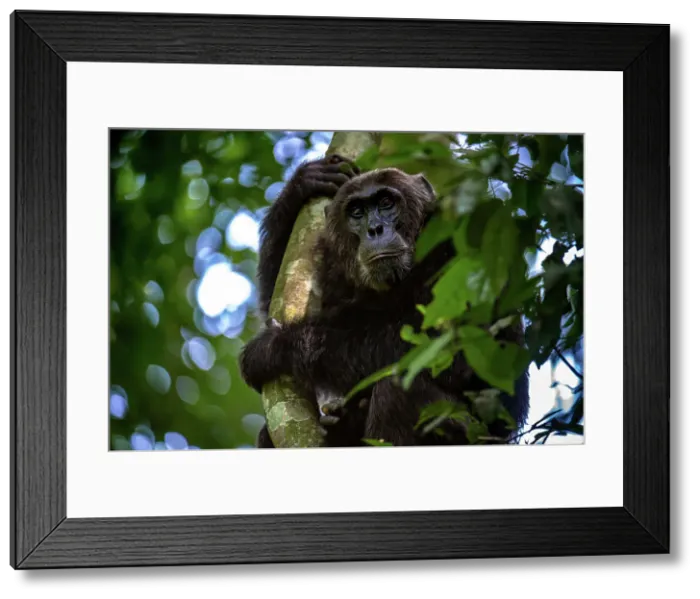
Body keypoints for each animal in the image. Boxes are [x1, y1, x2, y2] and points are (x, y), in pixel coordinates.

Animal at [239, 153, 530, 448]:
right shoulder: (331, 261)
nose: (375, 229)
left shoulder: (462, 245)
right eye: (357, 212)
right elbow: (275, 297)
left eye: (386, 203)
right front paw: (303, 184)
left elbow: (454, 347)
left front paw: (278, 345)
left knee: (396, 389)